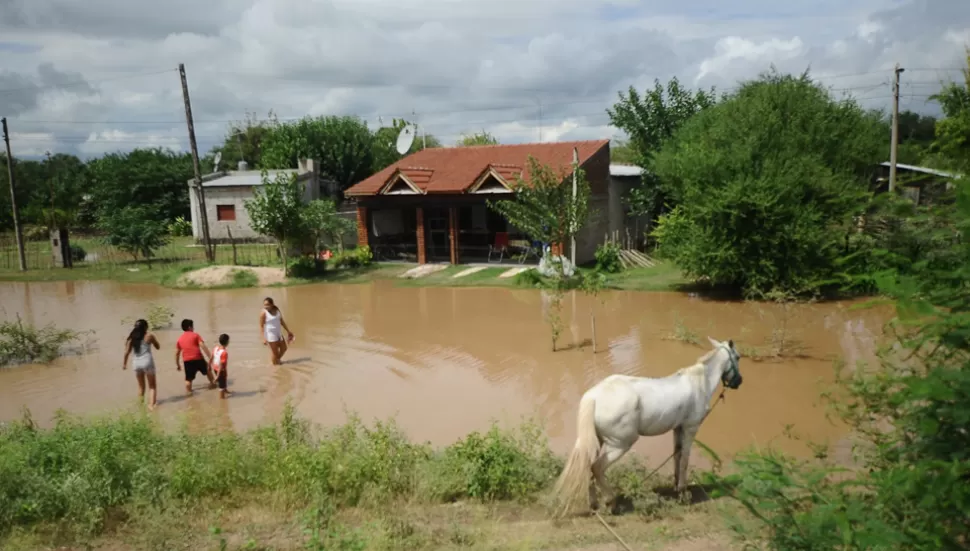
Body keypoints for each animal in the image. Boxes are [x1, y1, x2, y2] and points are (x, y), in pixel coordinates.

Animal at [552, 338, 740, 516]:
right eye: (738, 357)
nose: (738, 382)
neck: (699, 383)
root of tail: (594, 397)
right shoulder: (690, 428)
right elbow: (685, 459)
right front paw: (683, 492)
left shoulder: (678, 428)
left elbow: (677, 456)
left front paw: (676, 487)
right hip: (620, 444)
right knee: (597, 468)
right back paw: (611, 503)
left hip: (597, 440)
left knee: (588, 467)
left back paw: (594, 505)